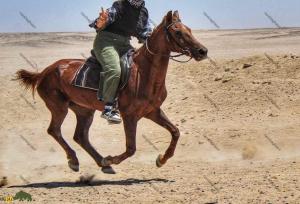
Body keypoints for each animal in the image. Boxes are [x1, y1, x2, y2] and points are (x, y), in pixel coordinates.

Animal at [15, 10, 206, 174]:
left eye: (189, 30)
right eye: (178, 32)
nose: (202, 51)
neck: (142, 73)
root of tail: (44, 72)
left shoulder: (152, 111)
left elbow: (175, 132)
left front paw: (161, 159)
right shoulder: (129, 116)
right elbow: (131, 148)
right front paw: (111, 159)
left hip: (84, 110)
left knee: (80, 136)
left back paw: (101, 164)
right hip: (59, 108)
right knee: (54, 131)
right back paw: (76, 161)